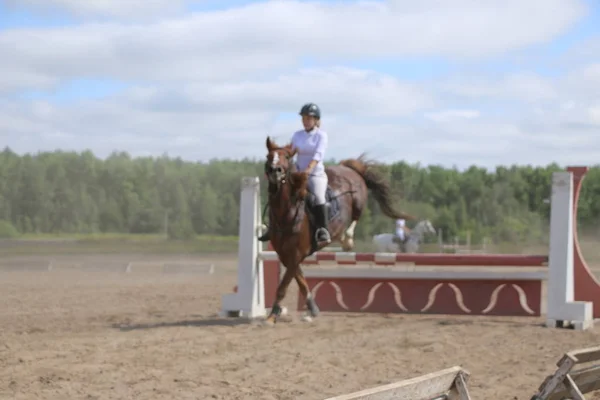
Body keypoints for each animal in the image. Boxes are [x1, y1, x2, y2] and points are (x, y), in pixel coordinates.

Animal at [264, 138, 414, 324]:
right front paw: (311, 310)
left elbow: (284, 285)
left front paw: (272, 315)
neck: (286, 212)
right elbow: (301, 281)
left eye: (286, 156)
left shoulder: (296, 254)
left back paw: (347, 241)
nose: (274, 171)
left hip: (358, 201)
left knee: (356, 217)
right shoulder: (285, 255)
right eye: (268, 156)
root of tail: (348, 167)